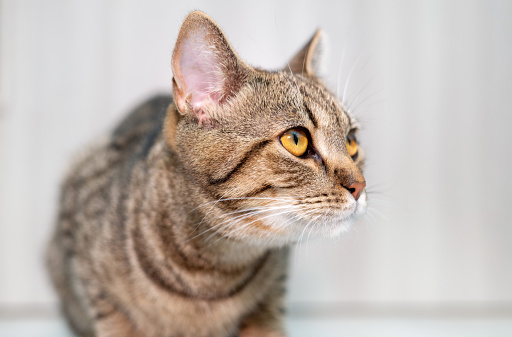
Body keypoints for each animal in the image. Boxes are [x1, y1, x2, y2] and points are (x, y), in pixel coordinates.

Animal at [47, 10, 368, 336]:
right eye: (296, 140)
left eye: (351, 141)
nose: (360, 185)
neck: (213, 271)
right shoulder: (89, 270)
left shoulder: (271, 297)